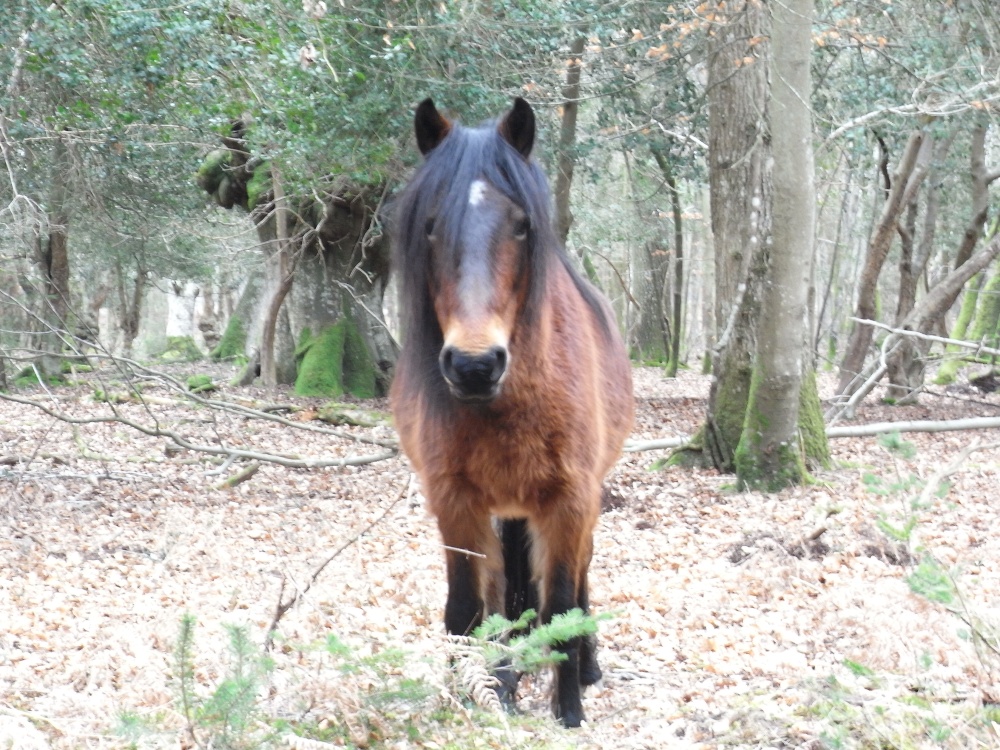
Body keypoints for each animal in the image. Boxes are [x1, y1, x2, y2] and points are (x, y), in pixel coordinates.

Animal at [389, 97, 634, 727]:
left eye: (521, 225)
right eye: (431, 226)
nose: (475, 365)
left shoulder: (570, 503)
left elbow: (563, 607)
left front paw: (568, 711)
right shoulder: (456, 503)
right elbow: (466, 610)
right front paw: (473, 696)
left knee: (579, 584)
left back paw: (584, 669)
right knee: (502, 595)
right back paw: (504, 678)